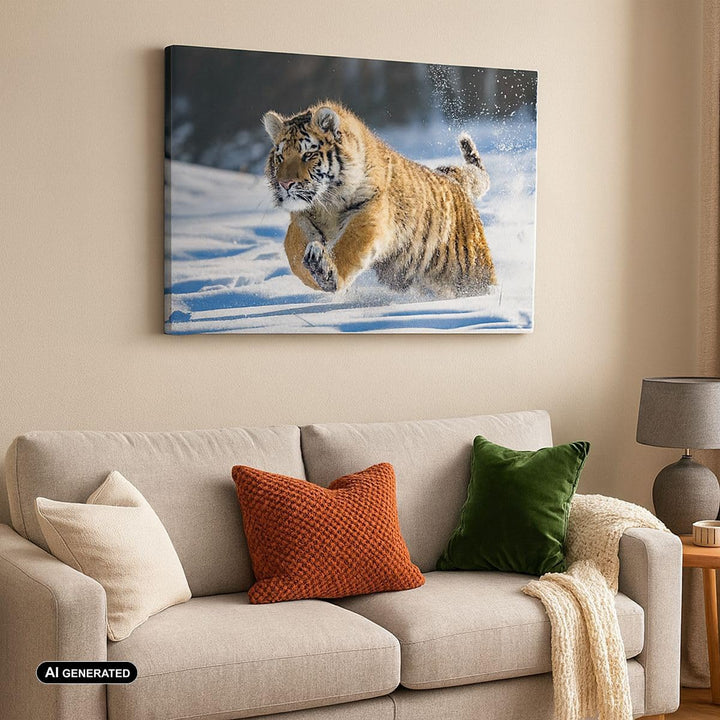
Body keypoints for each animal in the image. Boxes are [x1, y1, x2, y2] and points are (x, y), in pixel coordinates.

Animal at [262, 100, 495, 298]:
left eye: (308, 155)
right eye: (280, 157)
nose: (285, 184)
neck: (326, 203)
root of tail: (453, 179)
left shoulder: (369, 211)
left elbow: (350, 244)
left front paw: (326, 271)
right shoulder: (301, 219)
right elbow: (293, 252)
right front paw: (313, 271)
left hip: (472, 270)